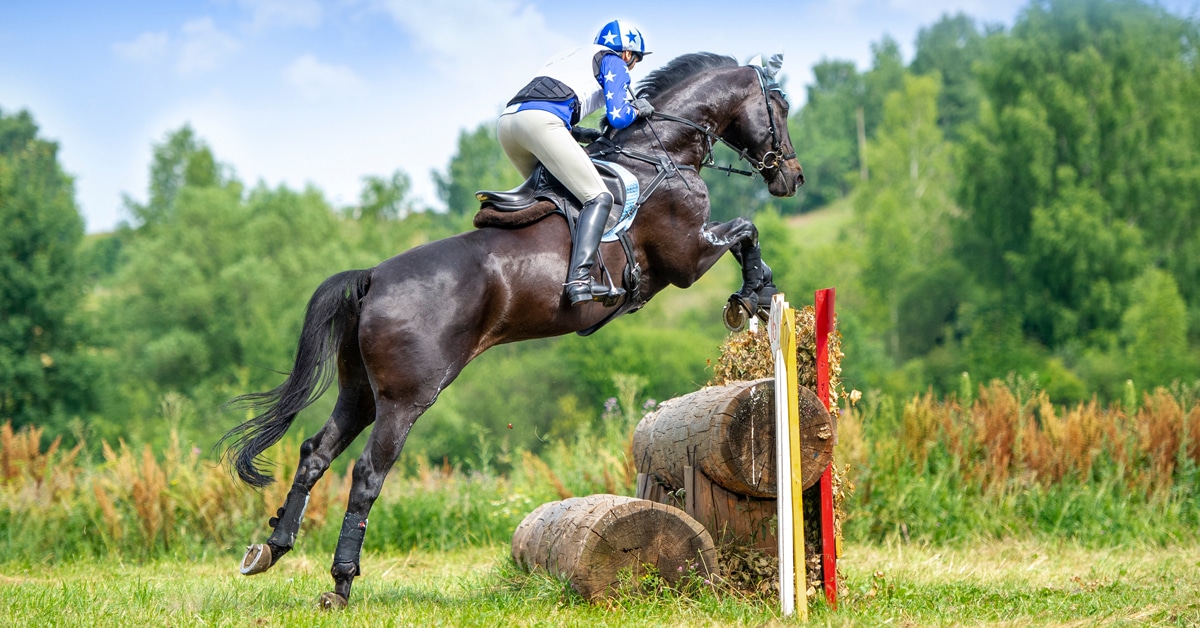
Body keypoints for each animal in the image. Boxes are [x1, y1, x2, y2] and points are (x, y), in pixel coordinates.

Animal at [221, 51, 804, 608]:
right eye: (779, 108)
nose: (792, 178)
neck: (662, 151)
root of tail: (373, 278)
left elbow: (744, 232)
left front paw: (754, 298)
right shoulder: (686, 258)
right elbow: (745, 231)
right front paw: (753, 295)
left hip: (360, 391)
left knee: (315, 453)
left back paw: (270, 549)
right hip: (405, 399)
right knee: (366, 475)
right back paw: (341, 584)